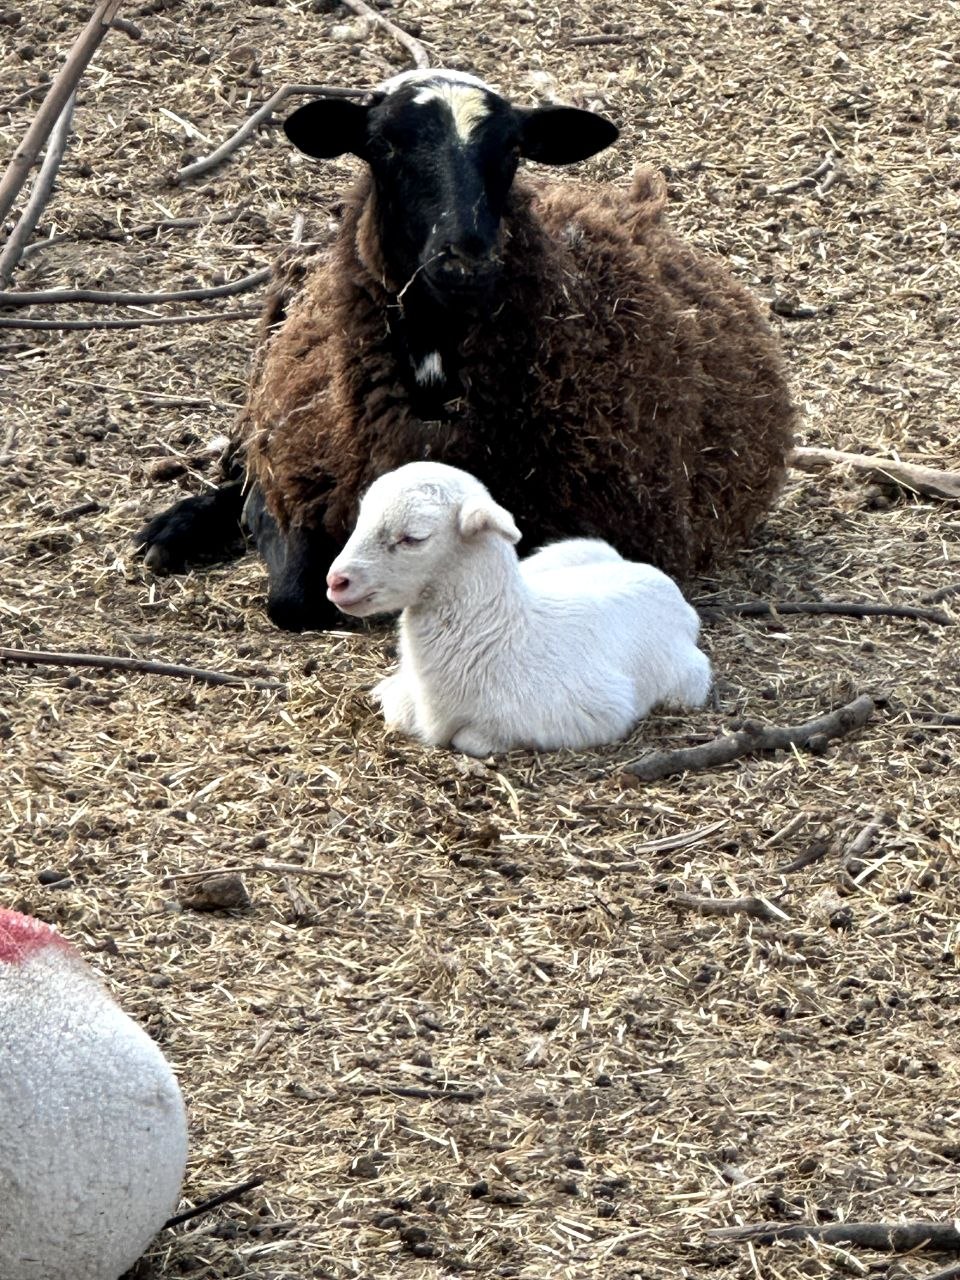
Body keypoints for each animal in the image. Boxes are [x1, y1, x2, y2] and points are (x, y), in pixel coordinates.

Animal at [136, 67, 795, 631]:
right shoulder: (299, 482)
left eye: (511, 151)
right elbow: (293, 594)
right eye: (383, 146)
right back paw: (170, 530)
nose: (465, 259)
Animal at [325, 461, 712, 755]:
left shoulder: (598, 711)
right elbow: (394, 705)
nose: (335, 581)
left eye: (414, 538)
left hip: (688, 684)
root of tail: (662, 582)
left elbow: (471, 740)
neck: (504, 634)